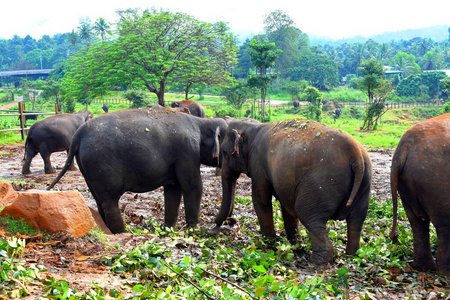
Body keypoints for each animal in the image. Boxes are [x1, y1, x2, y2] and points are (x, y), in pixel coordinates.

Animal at [47, 109, 227, 233]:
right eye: (227, 152)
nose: (215, 226)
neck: (201, 122)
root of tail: (78, 134)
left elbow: (173, 189)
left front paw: (168, 230)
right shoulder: (188, 151)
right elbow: (193, 185)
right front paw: (193, 231)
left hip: (87, 168)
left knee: (99, 200)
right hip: (100, 164)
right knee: (109, 200)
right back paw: (123, 232)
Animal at [214, 118, 372, 264]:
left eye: (225, 152)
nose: (228, 222)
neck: (253, 126)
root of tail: (356, 154)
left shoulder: (258, 165)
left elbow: (261, 200)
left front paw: (268, 244)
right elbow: (286, 206)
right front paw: (295, 245)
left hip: (322, 184)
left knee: (308, 216)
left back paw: (315, 262)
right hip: (364, 185)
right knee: (357, 221)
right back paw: (352, 256)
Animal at [390, 113, 450, 276]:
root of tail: (405, 146)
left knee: (416, 221)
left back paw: (423, 268)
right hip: (437, 180)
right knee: (444, 225)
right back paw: (444, 274)